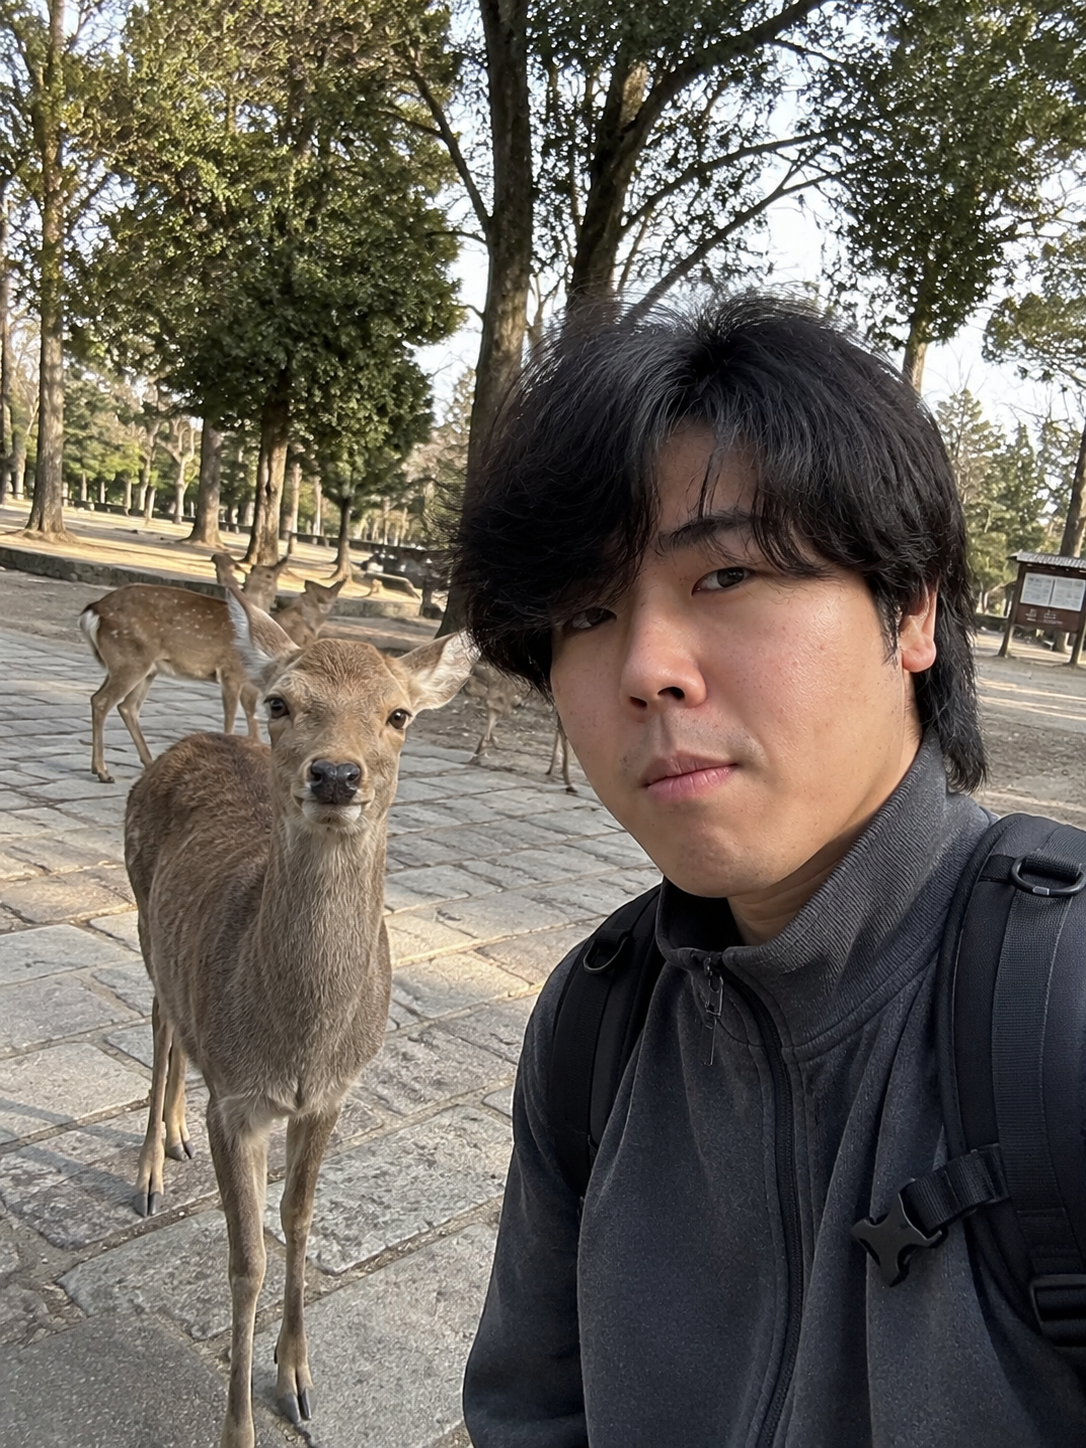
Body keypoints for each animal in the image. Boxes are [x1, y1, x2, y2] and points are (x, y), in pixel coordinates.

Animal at [125, 589, 474, 1448]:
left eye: (398, 714)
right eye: (281, 703)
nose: (337, 773)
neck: (297, 1045)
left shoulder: (332, 1095)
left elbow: (301, 1219)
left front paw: (299, 1379)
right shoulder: (239, 1103)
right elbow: (244, 1258)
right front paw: (239, 1427)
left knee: (177, 1036)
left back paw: (175, 1137)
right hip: (144, 917)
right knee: (160, 1025)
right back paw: (149, 1171)